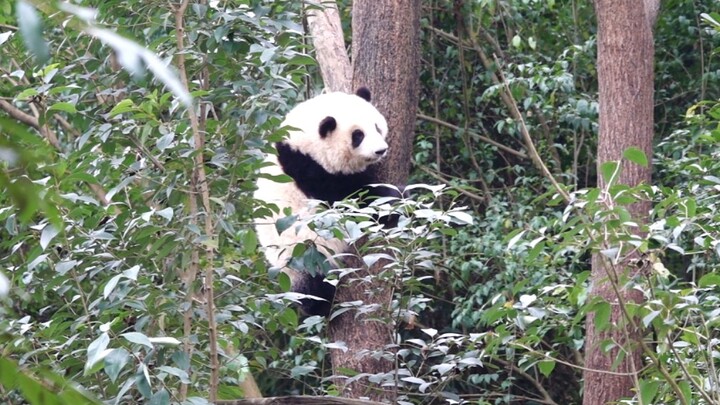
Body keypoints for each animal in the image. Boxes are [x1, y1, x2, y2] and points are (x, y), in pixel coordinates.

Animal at [255, 87, 400, 316]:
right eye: (358, 135)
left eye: (377, 127)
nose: (380, 150)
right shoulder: (309, 170)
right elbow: (353, 198)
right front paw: (398, 197)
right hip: (305, 255)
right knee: (315, 286)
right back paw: (319, 306)